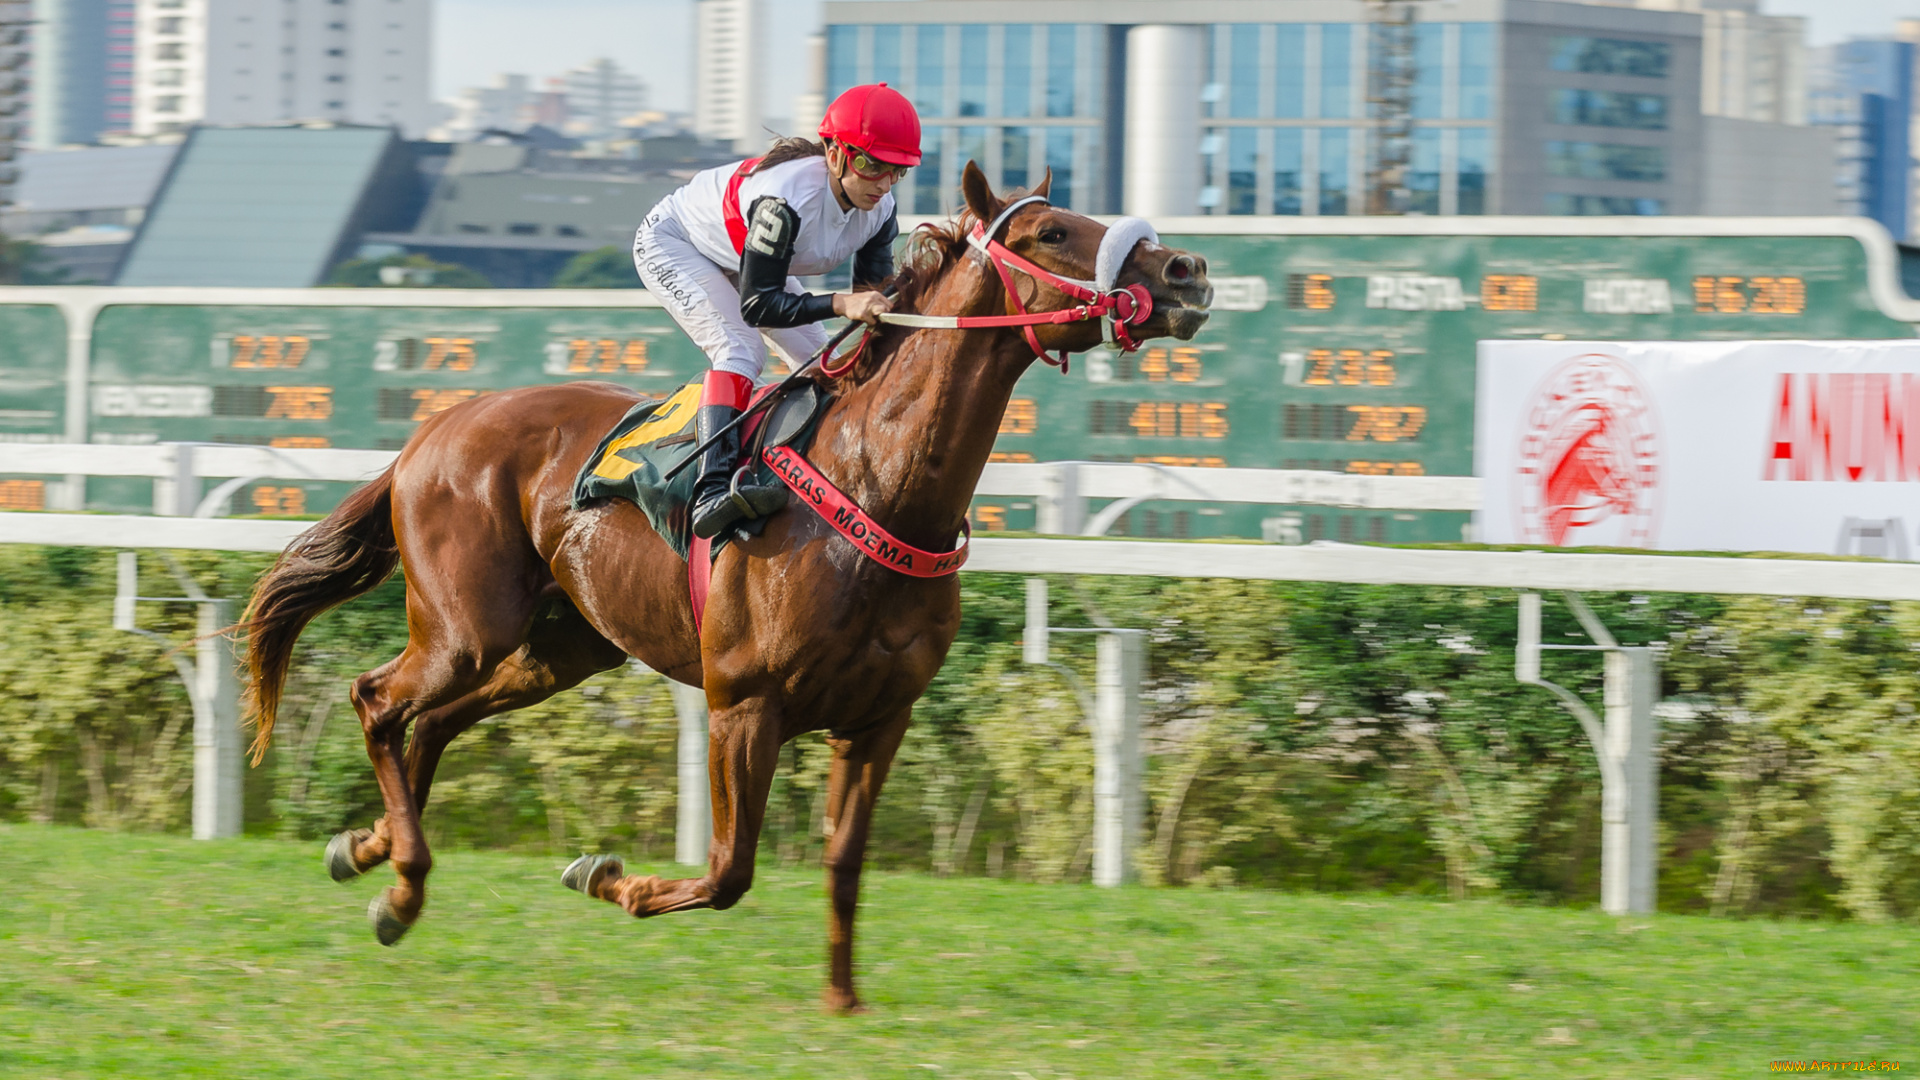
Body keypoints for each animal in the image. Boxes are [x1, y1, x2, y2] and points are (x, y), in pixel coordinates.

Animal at [238, 162, 1213, 1012]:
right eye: (1052, 233)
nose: (1188, 269)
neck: (877, 484)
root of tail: (431, 432)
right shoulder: (745, 702)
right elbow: (730, 870)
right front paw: (607, 878)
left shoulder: (878, 717)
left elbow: (843, 863)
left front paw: (843, 999)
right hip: (465, 627)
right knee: (379, 701)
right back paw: (402, 885)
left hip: (561, 648)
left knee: (432, 720)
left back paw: (371, 849)